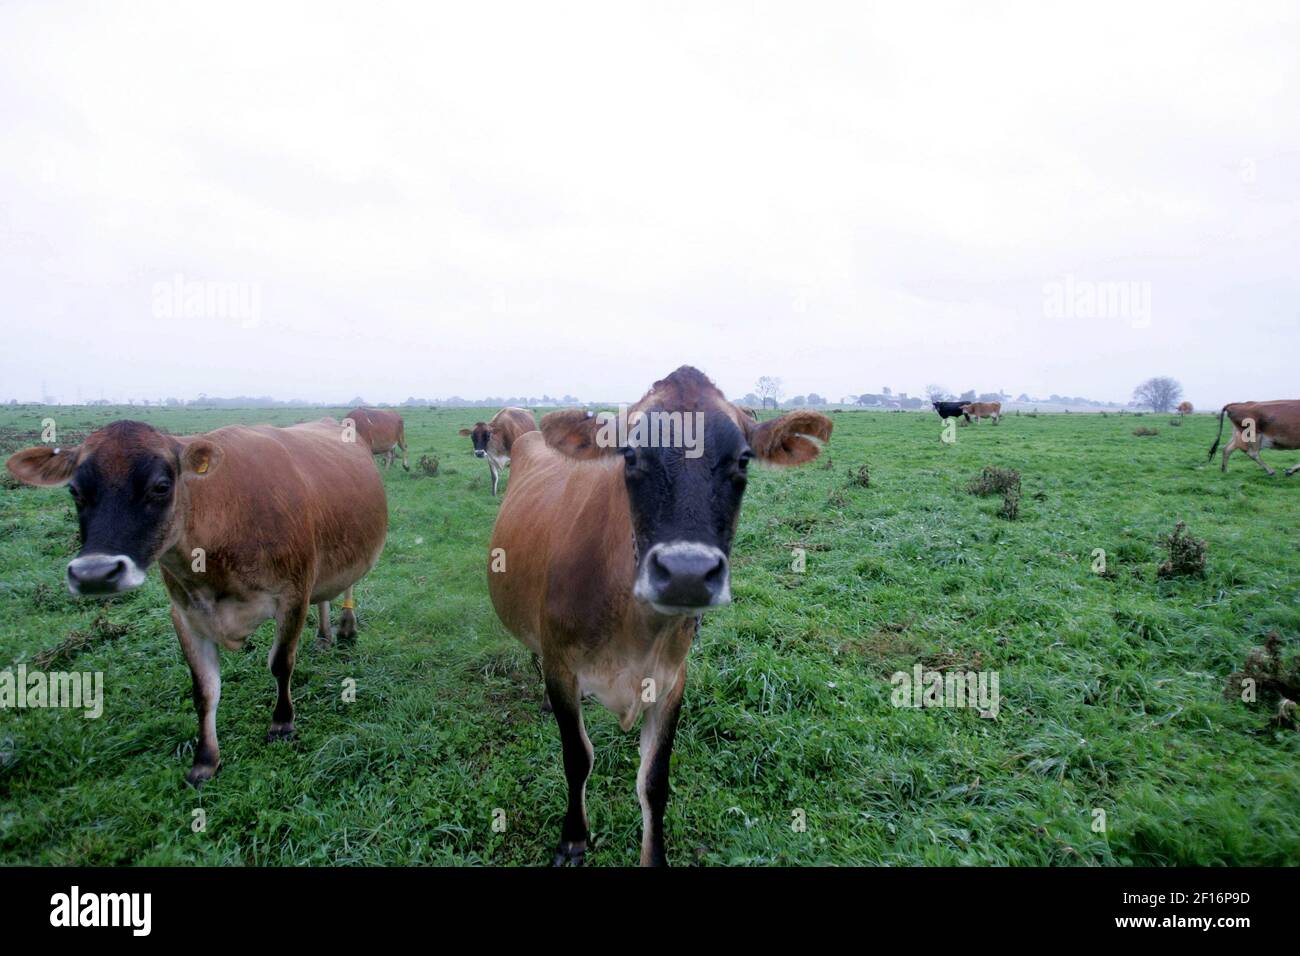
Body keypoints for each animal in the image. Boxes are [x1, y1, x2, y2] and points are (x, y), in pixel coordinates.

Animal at [5, 418, 388, 785]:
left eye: (161, 486)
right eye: (75, 490)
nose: (94, 573)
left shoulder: (292, 595)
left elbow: (281, 663)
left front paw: (281, 724)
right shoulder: (186, 615)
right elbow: (204, 690)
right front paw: (205, 761)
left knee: (345, 586)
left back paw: (345, 627)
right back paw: (323, 635)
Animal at [487, 366, 832, 866]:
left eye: (744, 460)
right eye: (630, 453)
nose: (686, 573)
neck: (634, 627)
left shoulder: (671, 681)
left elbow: (653, 781)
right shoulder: (563, 668)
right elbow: (578, 756)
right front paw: (573, 837)